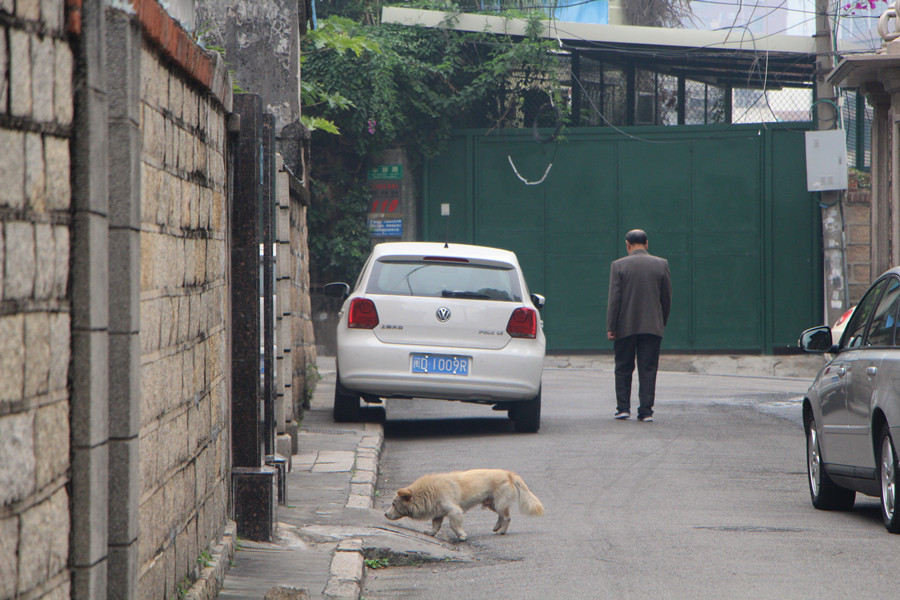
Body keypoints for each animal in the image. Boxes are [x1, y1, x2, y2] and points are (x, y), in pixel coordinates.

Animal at [384, 472, 544, 540]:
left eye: (393, 504)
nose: (385, 514)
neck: (428, 491)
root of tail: (509, 474)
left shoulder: (454, 511)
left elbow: (454, 525)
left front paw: (461, 535)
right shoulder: (438, 513)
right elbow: (436, 525)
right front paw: (431, 533)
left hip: (499, 503)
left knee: (507, 517)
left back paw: (502, 531)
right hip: (492, 503)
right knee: (502, 515)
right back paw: (497, 526)